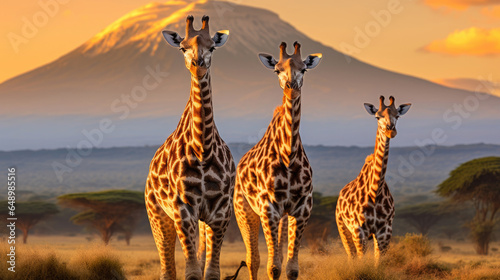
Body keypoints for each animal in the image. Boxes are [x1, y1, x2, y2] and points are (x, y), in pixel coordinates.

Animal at [145, 15, 236, 280]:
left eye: (212, 47)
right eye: (182, 47)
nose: (198, 65)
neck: (203, 148)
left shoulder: (220, 212)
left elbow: (211, 273)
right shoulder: (183, 208)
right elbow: (192, 272)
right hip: (157, 214)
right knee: (167, 268)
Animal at [230, 42, 320, 280]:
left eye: (304, 69)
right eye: (277, 70)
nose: (291, 88)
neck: (288, 156)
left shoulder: (302, 208)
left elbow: (291, 269)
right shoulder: (267, 207)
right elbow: (273, 268)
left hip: (281, 216)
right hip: (244, 210)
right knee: (253, 260)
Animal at [336, 95, 410, 264]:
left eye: (398, 116)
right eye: (377, 116)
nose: (390, 130)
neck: (375, 191)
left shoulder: (385, 232)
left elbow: (379, 264)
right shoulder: (359, 231)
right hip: (343, 229)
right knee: (351, 256)